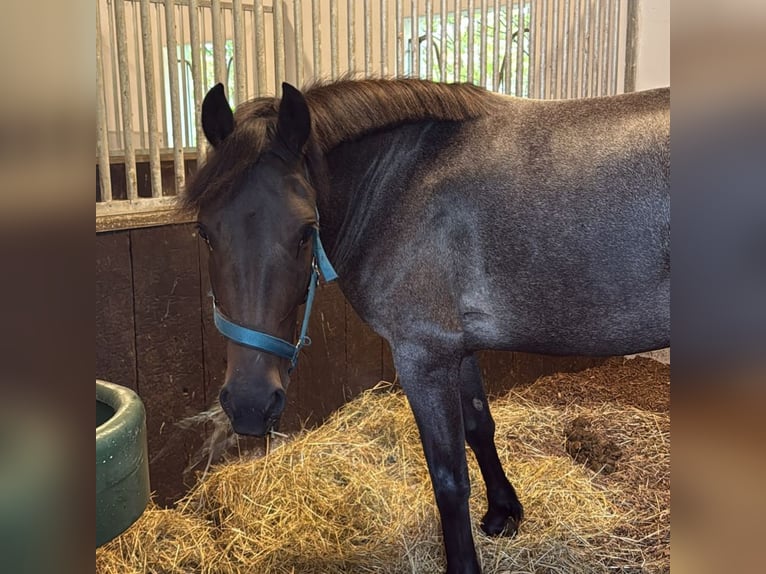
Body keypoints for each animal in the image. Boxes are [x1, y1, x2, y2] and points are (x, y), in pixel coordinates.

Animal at [183, 78, 670, 574]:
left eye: (305, 232)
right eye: (204, 231)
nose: (249, 404)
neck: (402, 184)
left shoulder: (424, 357)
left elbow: (448, 478)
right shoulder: (459, 348)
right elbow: (479, 427)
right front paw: (503, 513)